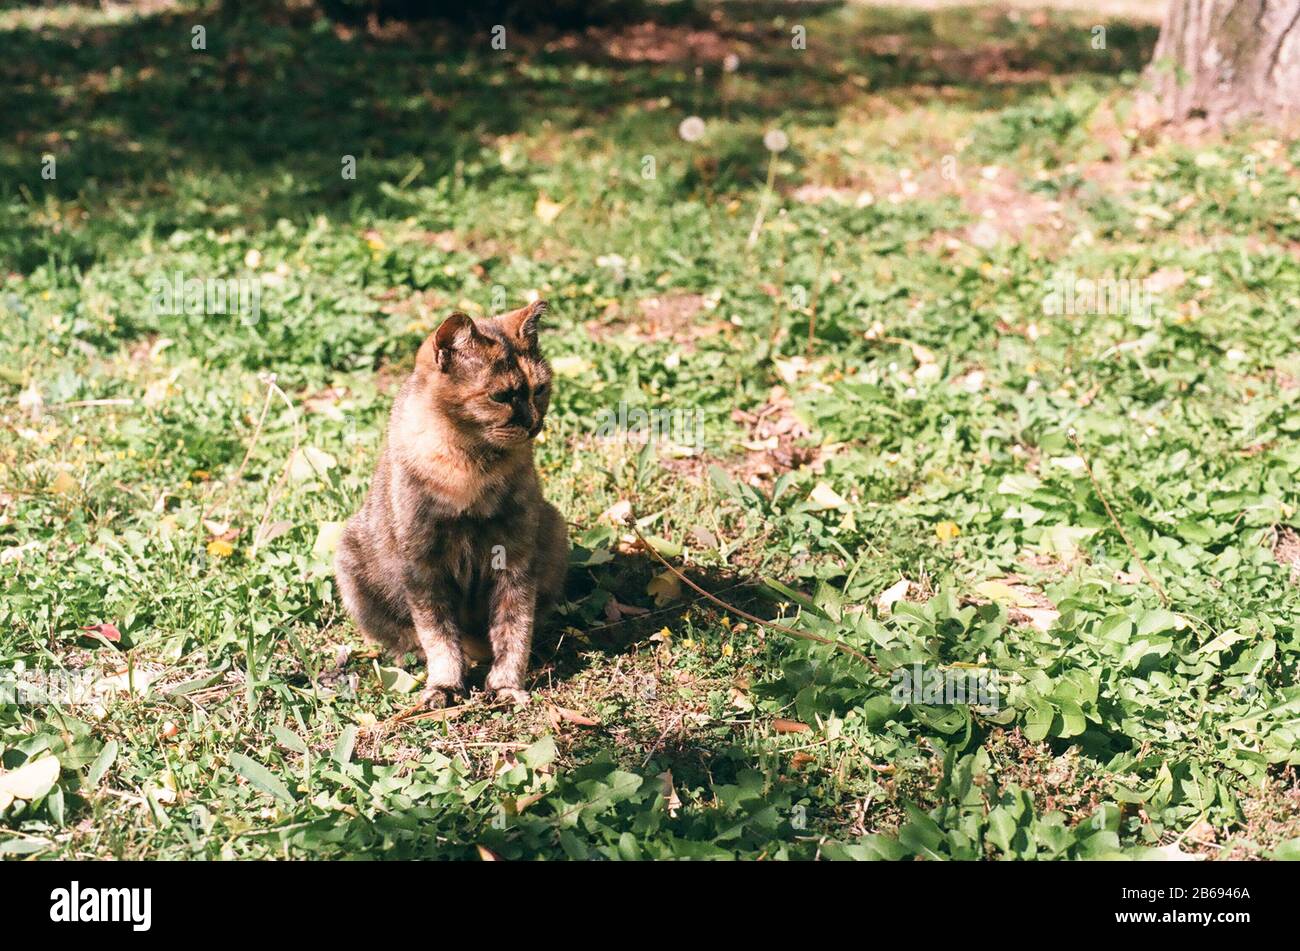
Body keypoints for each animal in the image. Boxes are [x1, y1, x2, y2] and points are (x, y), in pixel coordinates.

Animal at [332, 301, 566, 711]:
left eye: (540, 389)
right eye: (501, 396)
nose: (534, 424)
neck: (471, 471)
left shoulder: (516, 558)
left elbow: (514, 629)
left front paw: (506, 687)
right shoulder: (423, 567)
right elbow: (438, 636)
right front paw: (444, 687)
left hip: (555, 528)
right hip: (350, 561)